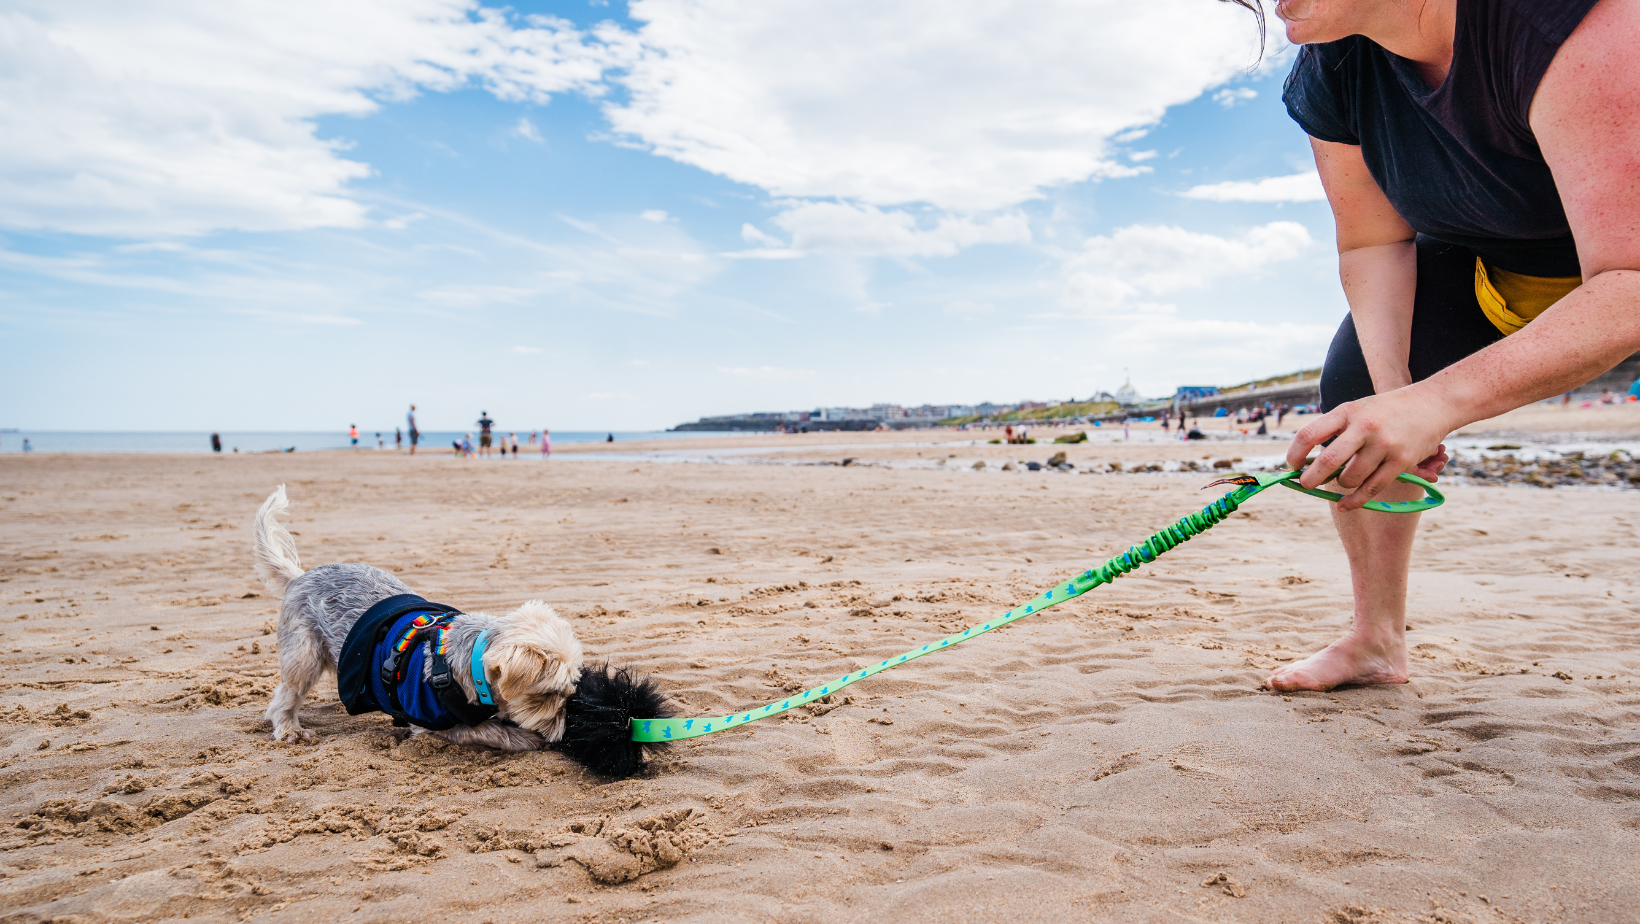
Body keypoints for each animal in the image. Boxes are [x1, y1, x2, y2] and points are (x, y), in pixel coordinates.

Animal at [252, 485, 587, 751]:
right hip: (304, 654)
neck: (467, 666)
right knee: (285, 695)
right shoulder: (434, 724)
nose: (564, 731)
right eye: (549, 695)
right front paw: (524, 738)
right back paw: (289, 729)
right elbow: (487, 730)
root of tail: (299, 577)